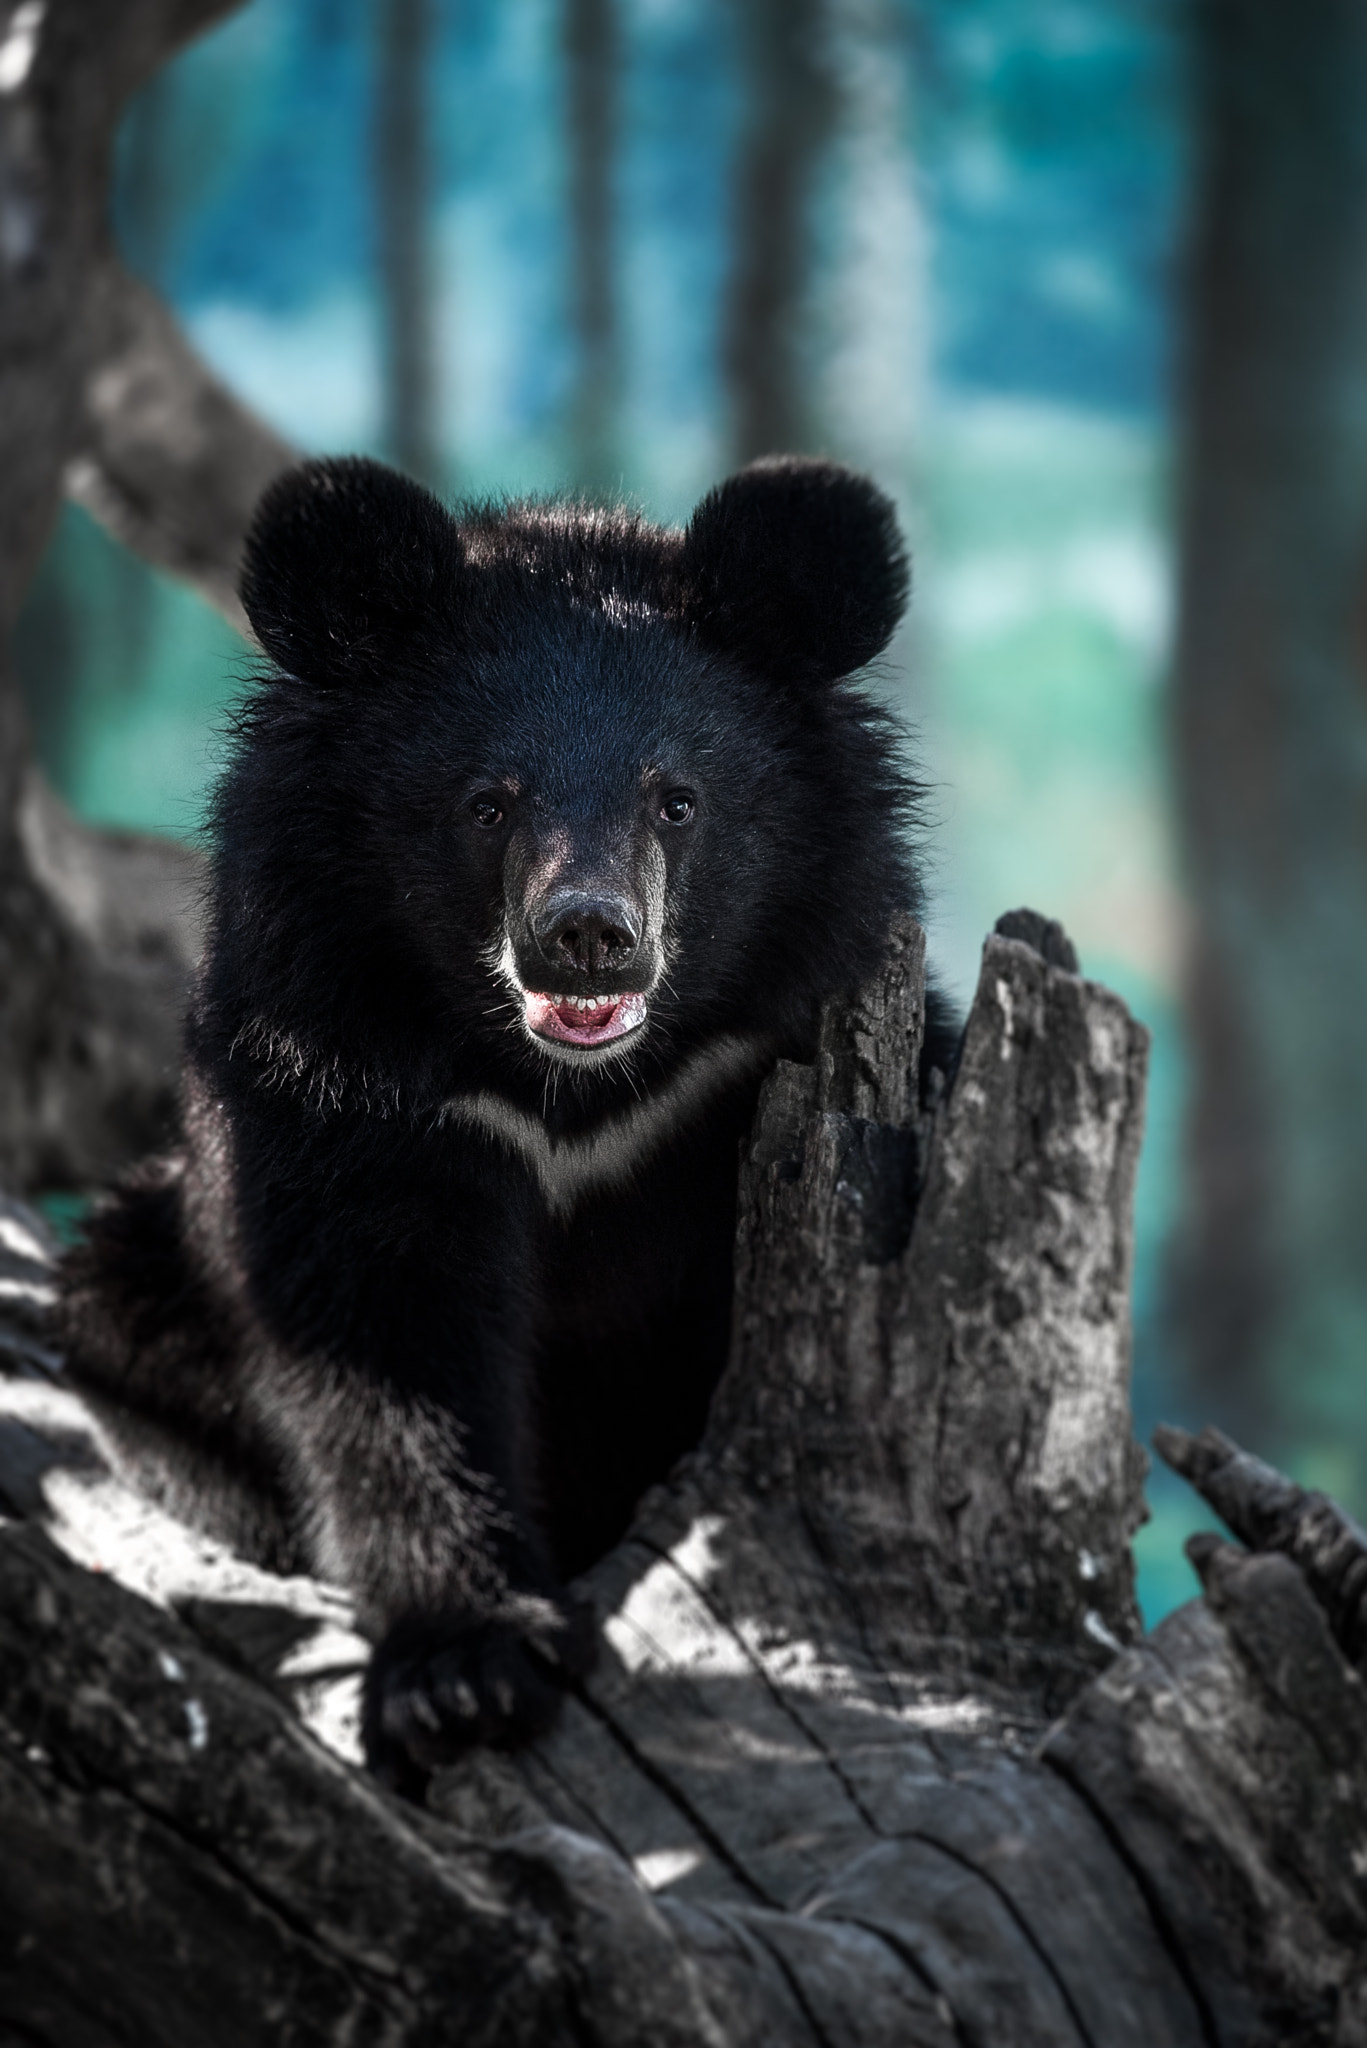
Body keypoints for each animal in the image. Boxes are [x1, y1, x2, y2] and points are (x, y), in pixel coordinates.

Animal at [57, 453, 956, 1794]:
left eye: (676, 800)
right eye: (487, 802)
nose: (586, 932)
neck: (566, 1091)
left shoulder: (765, 1051)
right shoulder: (337, 1076)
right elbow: (377, 1340)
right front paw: (465, 1673)